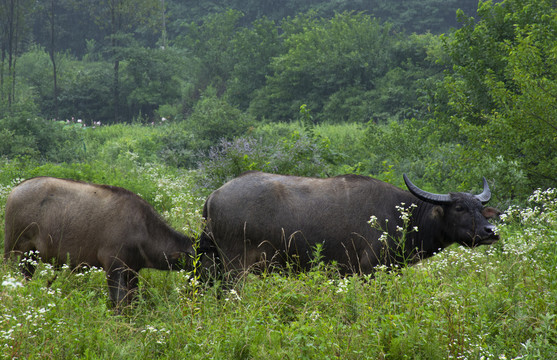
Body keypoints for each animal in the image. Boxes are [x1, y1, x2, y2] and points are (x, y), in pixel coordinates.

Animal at [3, 177, 193, 306]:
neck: (143, 228)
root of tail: (15, 190)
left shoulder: (133, 271)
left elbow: (133, 299)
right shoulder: (113, 266)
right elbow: (119, 301)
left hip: (30, 258)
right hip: (15, 251)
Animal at [200, 172, 500, 276]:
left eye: (480, 209)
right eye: (459, 208)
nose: (490, 232)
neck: (403, 217)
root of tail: (214, 195)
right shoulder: (370, 270)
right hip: (235, 267)